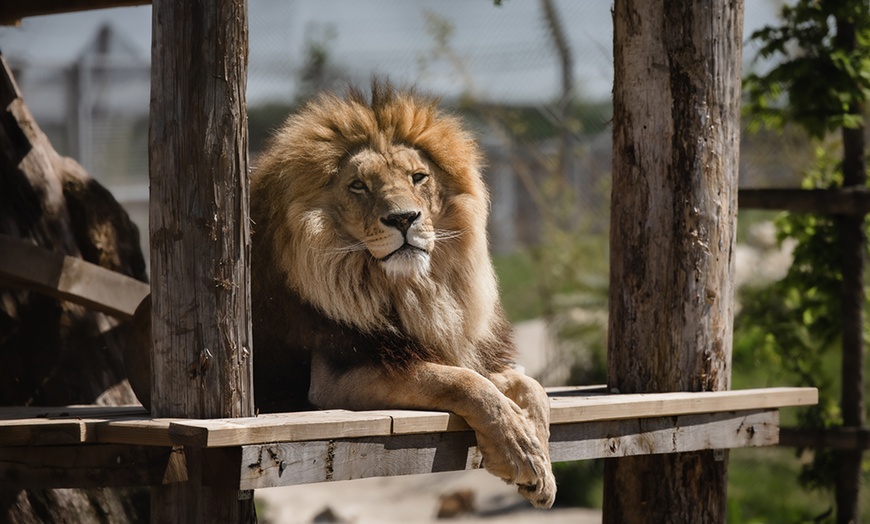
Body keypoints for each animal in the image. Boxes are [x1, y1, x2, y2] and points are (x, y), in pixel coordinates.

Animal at [126, 84, 556, 510]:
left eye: (418, 177)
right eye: (359, 186)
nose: (404, 219)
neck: (410, 289)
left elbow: (528, 386)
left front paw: (541, 464)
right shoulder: (338, 378)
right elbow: (462, 382)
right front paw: (521, 452)